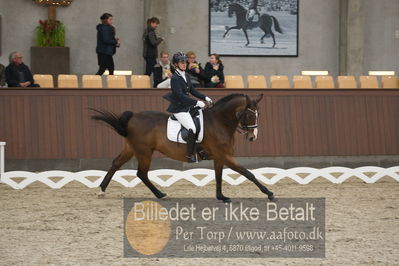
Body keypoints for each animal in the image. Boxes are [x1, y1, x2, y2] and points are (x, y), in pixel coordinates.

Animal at [91, 93, 276, 202]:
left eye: (258, 114)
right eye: (249, 115)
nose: (252, 137)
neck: (219, 122)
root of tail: (133, 117)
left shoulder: (219, 157)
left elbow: (218, 177)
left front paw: (221, 197)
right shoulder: (225, 156)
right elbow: (247, 173)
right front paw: (269, 193)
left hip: (131, 149)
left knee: (116, 164)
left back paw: (101, 190)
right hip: (144, 152)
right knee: (141, 173)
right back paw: (160, 194)